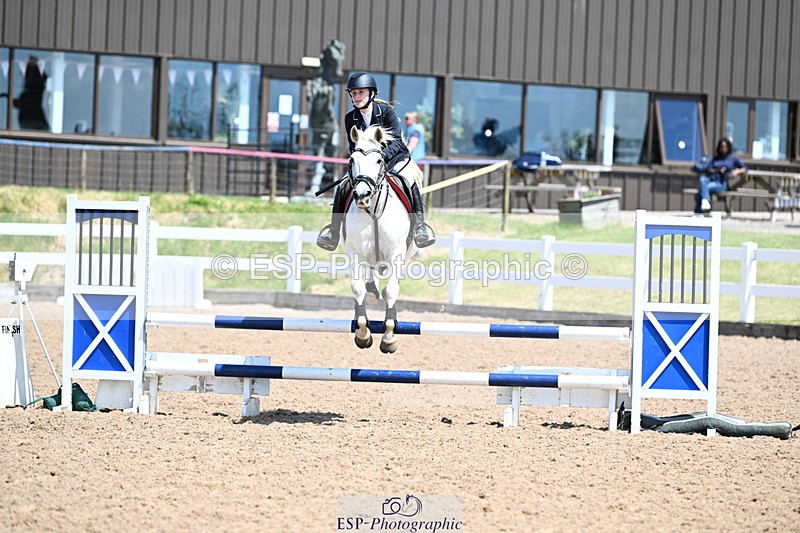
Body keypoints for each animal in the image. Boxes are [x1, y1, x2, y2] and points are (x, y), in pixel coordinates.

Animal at [343, 125, 422, 353]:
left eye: (379, 160)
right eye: (352, 160)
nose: (362, 195)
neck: (373, 210)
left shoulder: (396, 254)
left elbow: (392, 291)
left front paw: (388, 338)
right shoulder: (355, 253)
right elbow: (357, 288)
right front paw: (362, 334)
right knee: (370, 283)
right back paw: (371, 293)